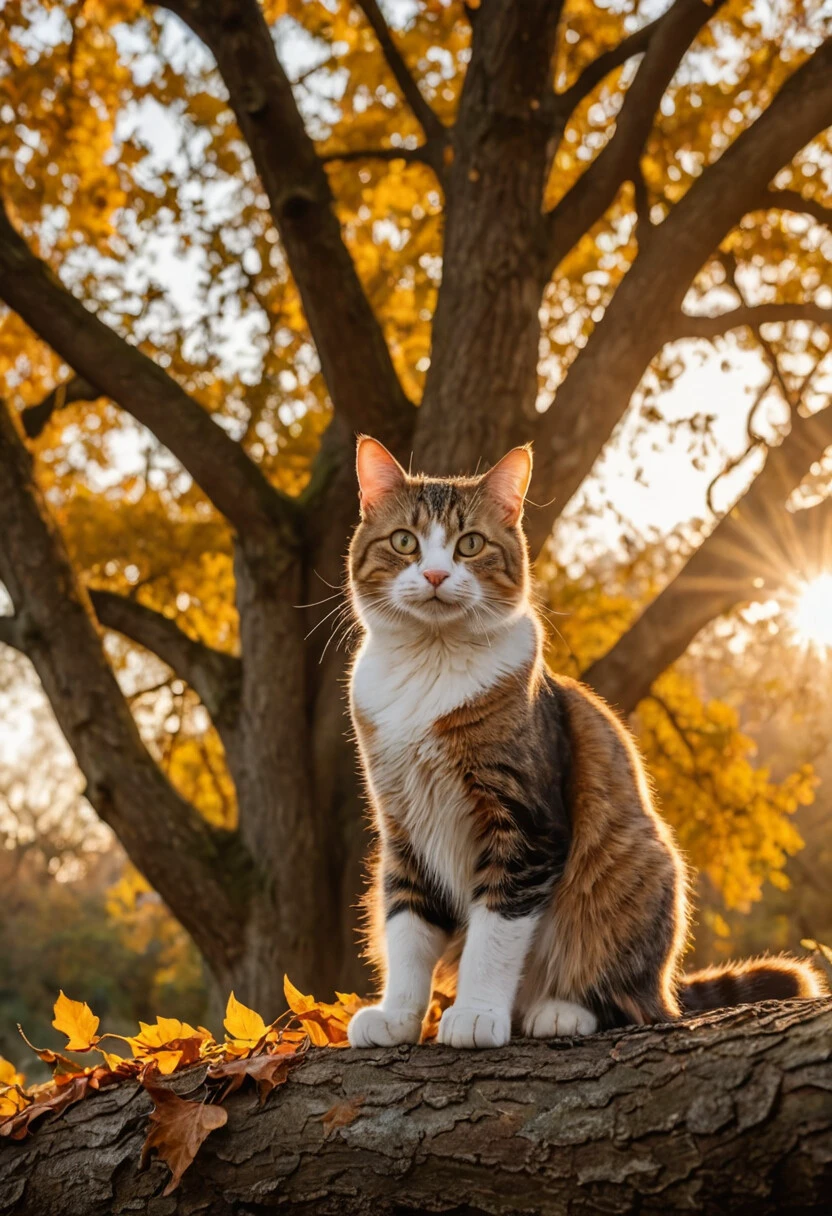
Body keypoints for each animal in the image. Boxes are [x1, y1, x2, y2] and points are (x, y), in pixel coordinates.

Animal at [345, 440, 827, 1055]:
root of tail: (663, 985)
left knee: (630, 1002)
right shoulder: (404, 826)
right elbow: (407, 928)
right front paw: (399, 1017)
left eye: (469, 544)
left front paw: (476, 1014)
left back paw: (558, 1011)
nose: (433, 573)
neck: (431, 668)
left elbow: (495, 933)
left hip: (633, 868)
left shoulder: (526, 824)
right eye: (405, 541)